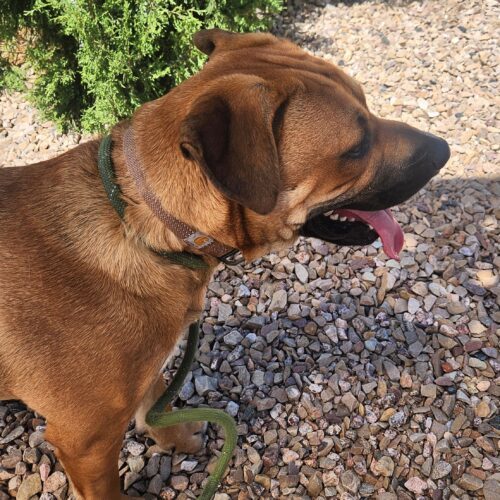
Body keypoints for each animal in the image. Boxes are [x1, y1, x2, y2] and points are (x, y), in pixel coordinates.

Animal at [0, 29, 452, 498]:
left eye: (367, 102)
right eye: (358, 146)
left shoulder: (146, 372)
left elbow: (154, 407)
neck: (141, 224)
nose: (444, 150)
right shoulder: (85, 441)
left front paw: (178, 441)